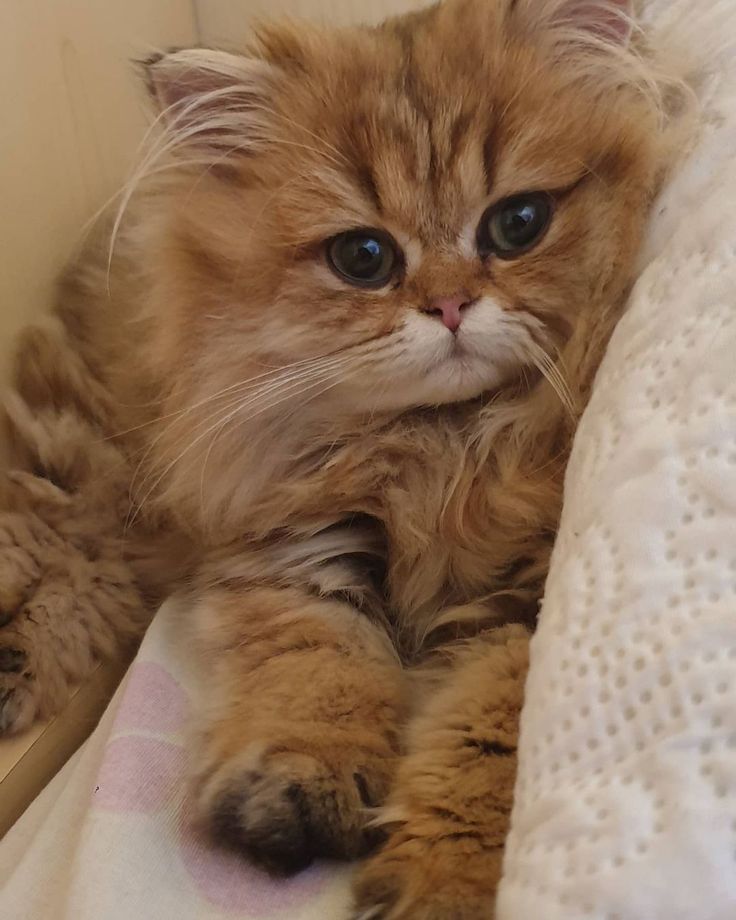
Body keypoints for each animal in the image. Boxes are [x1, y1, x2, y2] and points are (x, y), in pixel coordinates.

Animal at [0, 0, 684, 916]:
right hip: (84, 461)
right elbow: (320, 673)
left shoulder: (525, 607)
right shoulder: (295, 550)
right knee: (52, 536)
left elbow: (484, 748)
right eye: (364, 258)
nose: (450, 305)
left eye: (517, 224)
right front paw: (299, 788)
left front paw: (446, 880)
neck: (441, 452)